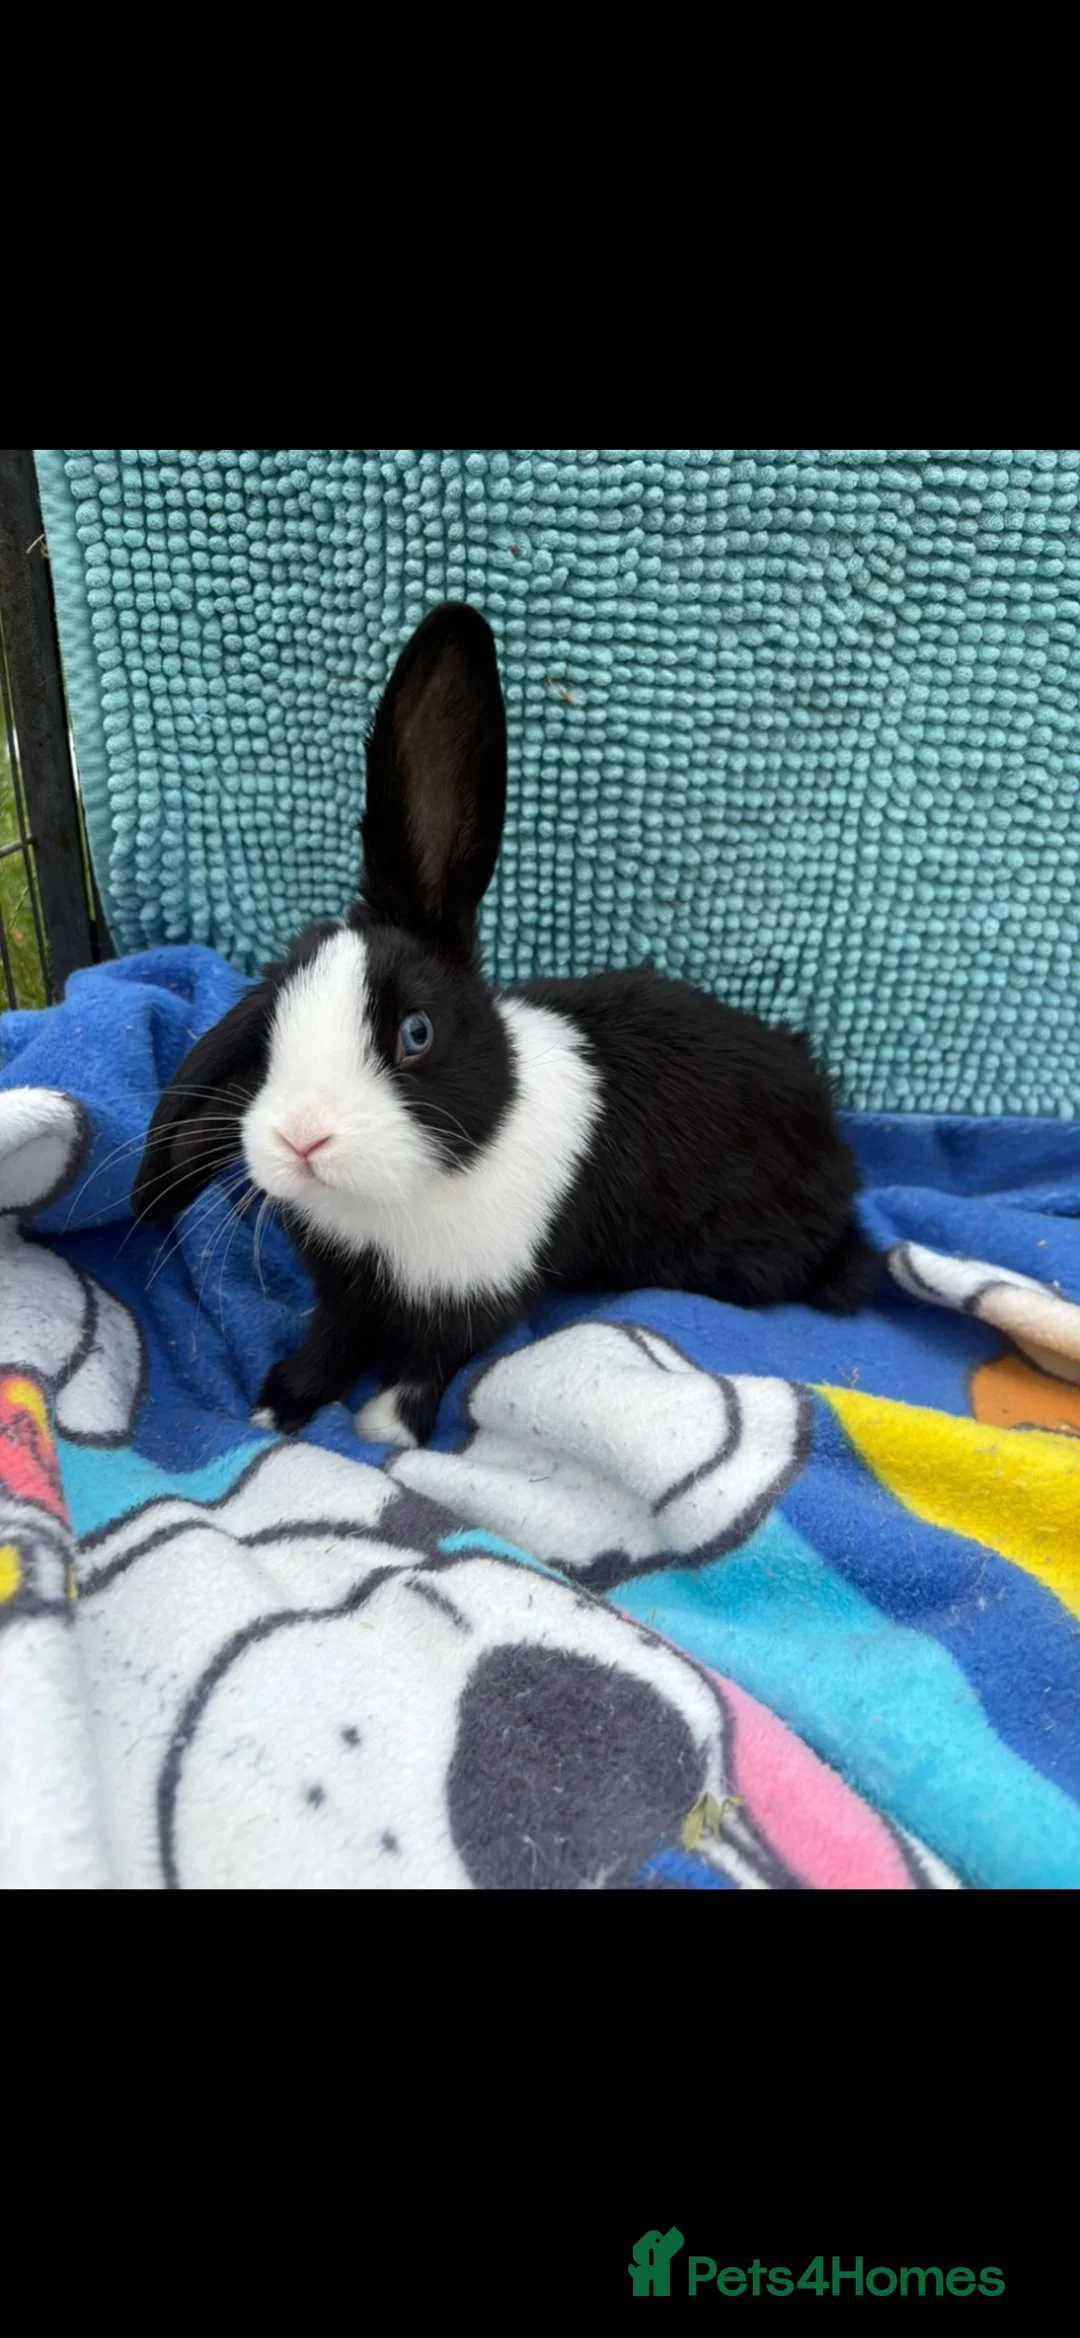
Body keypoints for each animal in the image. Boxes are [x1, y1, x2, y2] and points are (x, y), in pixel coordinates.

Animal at [132, 603, 878, 1448]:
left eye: (416, 1034)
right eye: (270, 1030)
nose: (302, 1139)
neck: (401, 1198)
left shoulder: (479, 1294)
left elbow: (432, 1360)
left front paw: (387, 1427)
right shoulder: (347, 1289)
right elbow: (333, 1338)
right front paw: (281, 1402)